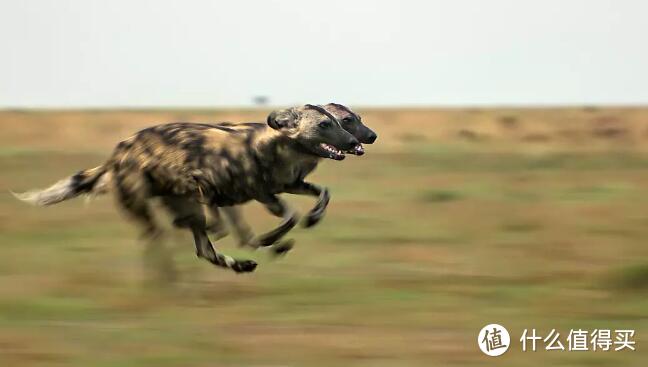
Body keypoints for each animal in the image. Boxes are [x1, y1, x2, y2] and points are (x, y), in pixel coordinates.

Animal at [13, 103, 364, 274]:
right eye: (325, 124)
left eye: (340, 121)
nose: (357, 143)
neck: (278, 147)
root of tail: (117, 153)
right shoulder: (243, 194)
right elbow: (286, 217)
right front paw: (271, 239)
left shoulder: (284, 187)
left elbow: (320, 195)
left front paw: (308, 221)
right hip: (166, 209)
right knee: (168, 243)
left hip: (185, 209)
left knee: (203, 249)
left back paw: (241, 265)